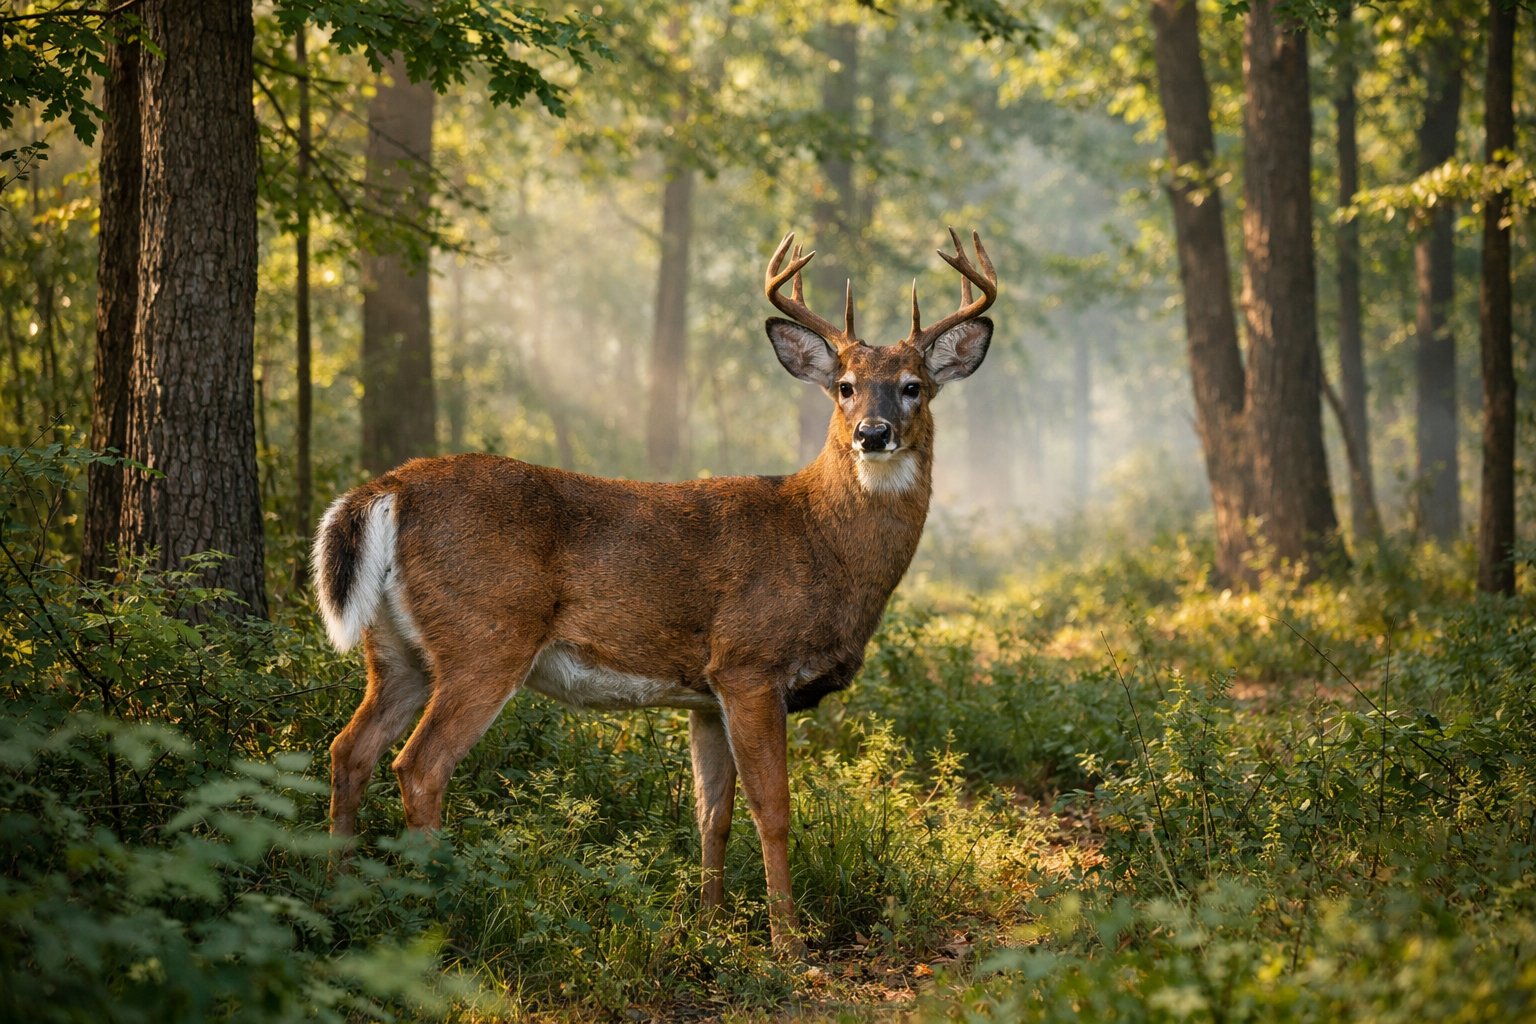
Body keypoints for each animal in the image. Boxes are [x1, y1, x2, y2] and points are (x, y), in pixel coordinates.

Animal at [313, 229, 997, 956]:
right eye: (844, 387)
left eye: (913, 388)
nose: (873, 433)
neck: (821, 542)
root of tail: (389, 488)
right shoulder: (750, 662)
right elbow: (774, 809)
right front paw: (788, 943)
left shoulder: (707, 693)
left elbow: (712, 812)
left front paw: (711, 924)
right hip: (486, 636)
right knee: (419, 765)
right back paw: (438, 915)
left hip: (397, 650)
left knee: (349, 748)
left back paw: (337, 898)